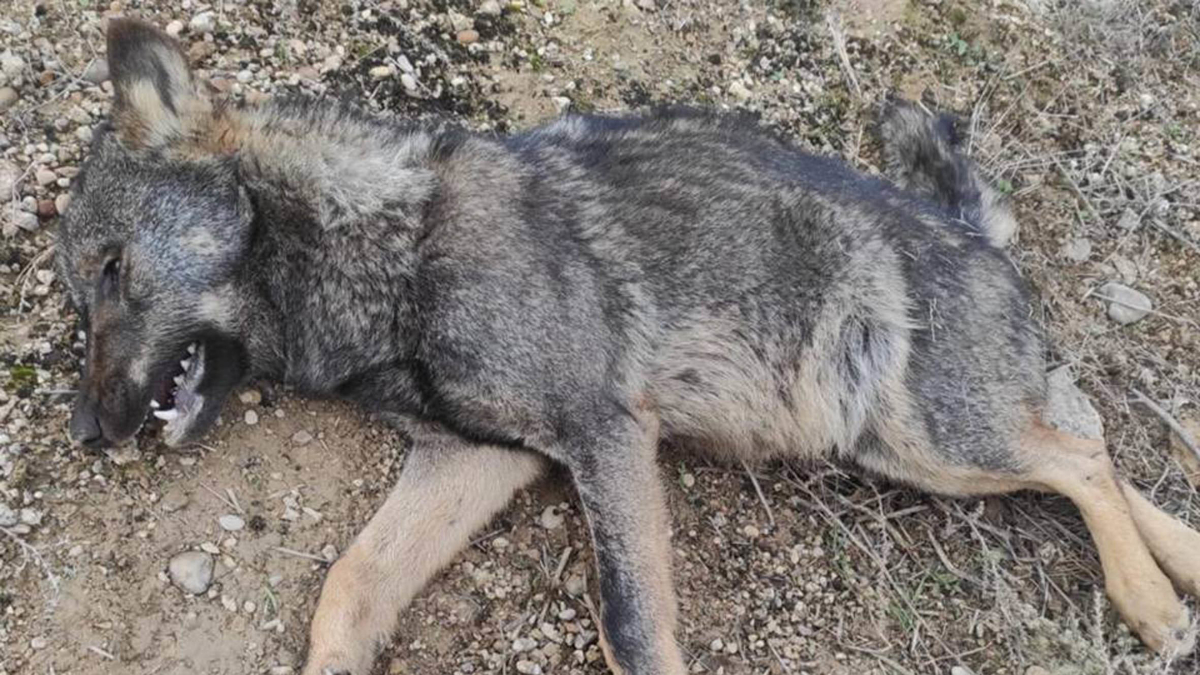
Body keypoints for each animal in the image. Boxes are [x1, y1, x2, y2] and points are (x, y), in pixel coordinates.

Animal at [57, 18, 1200, 674]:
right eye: (78, 300)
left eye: (112, 271)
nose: (85, 431)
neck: (396, 248)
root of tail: (972, 232)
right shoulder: (478, 457)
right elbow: (349, 586)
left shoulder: (604, 437)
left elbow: (633, 626)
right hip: (913, 448)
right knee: (1087, 448)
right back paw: (1181, 563)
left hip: (932, 440)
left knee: (1081, 454)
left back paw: (1149, 601)